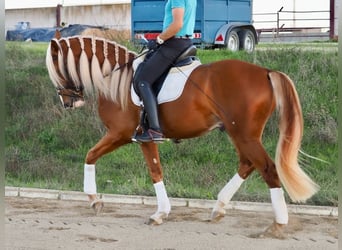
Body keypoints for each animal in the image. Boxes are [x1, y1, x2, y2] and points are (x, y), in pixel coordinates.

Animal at [45, 33, 318, 238]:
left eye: (56, 68)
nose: (68, 102)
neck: (115, 79)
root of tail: (265, 72)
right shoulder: (138, 137)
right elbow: (153, 170)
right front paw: (159, 212)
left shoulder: (122, 134)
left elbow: (94, 156)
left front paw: (95, 200)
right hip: (239, 133)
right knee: (248, 163)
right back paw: (219, 208)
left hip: (244, 134)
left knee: (267, 169)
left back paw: (277, 224)